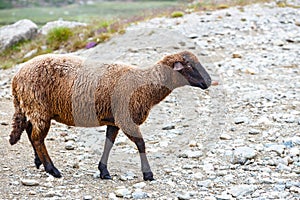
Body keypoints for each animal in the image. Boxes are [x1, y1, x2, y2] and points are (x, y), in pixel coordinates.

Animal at [8, 50, 211, 180]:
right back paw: (52, 169)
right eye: (190, 66)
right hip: (38, 107)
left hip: (33, 108)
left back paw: (39, 162)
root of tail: (16, 77)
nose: (208, 82)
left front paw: (104, 171)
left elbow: (108, 144)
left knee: (30, 131)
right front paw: (148, 174)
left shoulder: (113, 121)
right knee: (37, 138)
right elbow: (141, 144)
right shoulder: (125, 118)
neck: (144, 85)